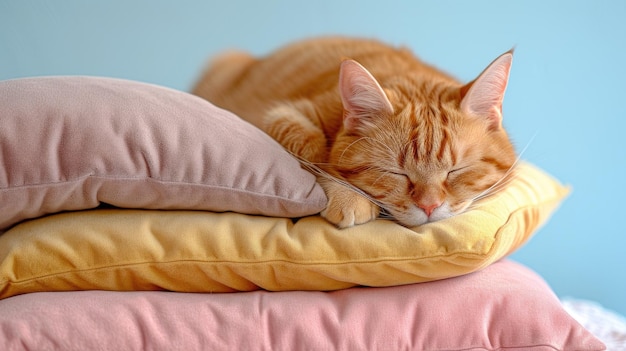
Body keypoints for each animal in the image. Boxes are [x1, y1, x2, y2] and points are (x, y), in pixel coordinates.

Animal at [193, 36, 516, 228]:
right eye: (397, 173)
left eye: (456, 171)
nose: (429, 206)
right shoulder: (278, 114)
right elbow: (314, 152)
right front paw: (346, 194)